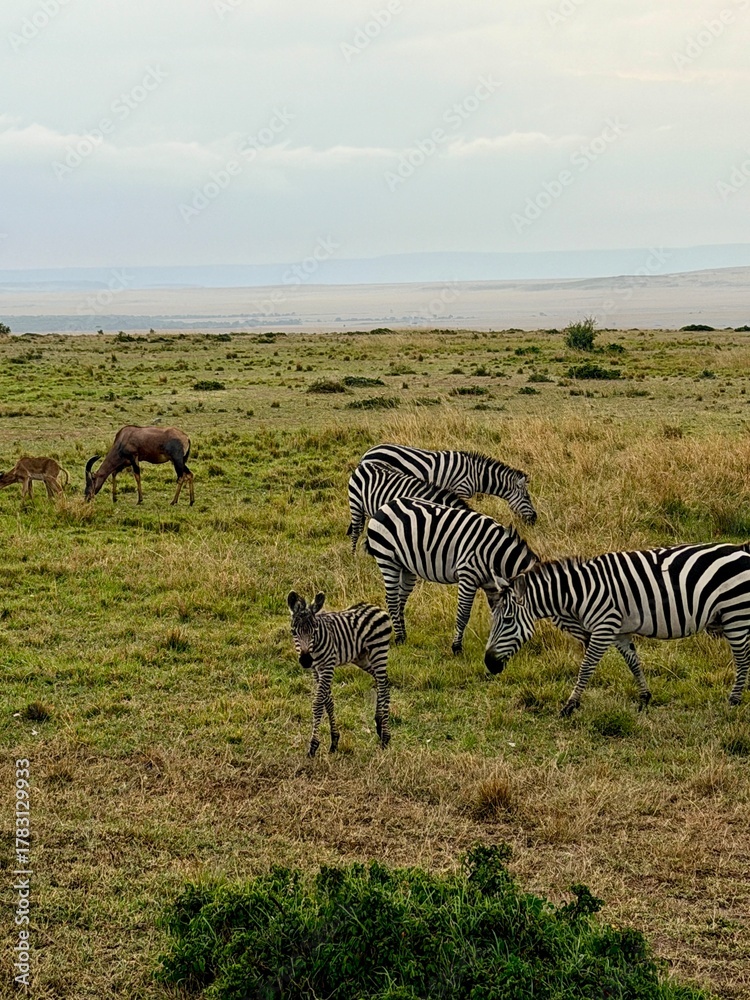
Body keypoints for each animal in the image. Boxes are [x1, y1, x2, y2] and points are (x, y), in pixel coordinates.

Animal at [287, 591, 392, 757]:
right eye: (293, 632)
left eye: (315, 630)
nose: (305, 661)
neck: (315, 648)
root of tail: (375, 607)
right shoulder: (316, 670)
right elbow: (328, 701)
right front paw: (335, 741)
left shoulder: (328, 666)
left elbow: (318, 703)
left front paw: (313, 747)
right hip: (361, 658)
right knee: (382, 682)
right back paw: (379, 723)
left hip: (379, 651)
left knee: (383, 687)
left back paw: (385, 738)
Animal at [364, 497, 538, 654]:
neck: (496, 553)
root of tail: (385, 506)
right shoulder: (468, 575)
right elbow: (463, 614)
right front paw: (456, 648)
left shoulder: (492, 585)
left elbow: (496, 614)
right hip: (387, 559)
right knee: (392, 599)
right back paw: (399, 638)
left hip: (406, 567)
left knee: (399, 599)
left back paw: (404, 635)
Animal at [484, 542, 750, 715]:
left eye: (507, 620)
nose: (488, 663)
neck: (580, 591)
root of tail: (742, 549)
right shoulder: (619, 631)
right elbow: (633, 663)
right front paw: (644, 698)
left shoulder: (604, 627)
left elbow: (586, 668)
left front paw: (570, 705)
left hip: (735, 614)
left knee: (742, 661)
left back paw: (733, 702)